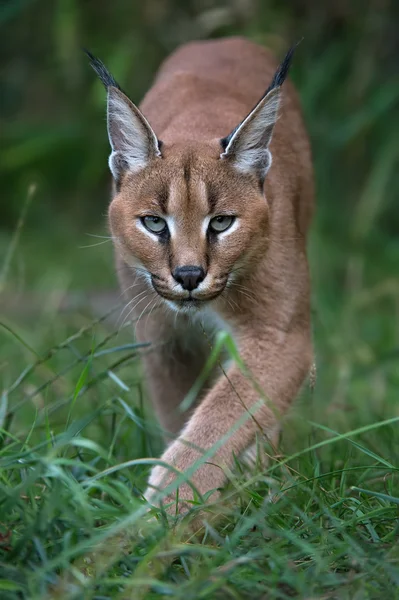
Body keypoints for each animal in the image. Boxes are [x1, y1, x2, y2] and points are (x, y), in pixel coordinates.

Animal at [88, 37, 316, 512]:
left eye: (222, 222)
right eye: (154, 223)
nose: (190, 275)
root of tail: (223, 40)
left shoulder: (280, 334)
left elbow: (224, 415)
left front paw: (168, 504)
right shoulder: (163, 339)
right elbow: (184, 412)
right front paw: (173, 511)